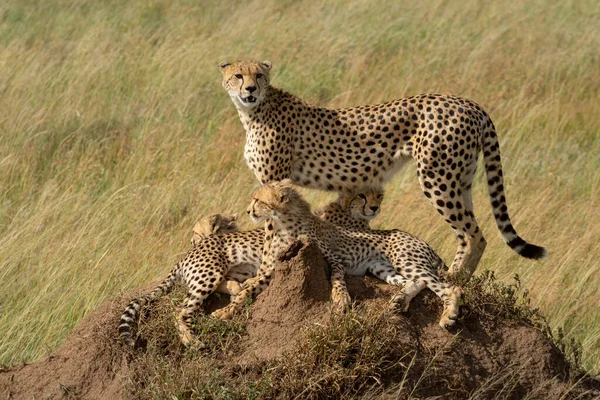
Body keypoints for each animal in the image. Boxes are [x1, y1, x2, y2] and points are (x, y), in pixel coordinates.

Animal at [213, 181, 462, 328]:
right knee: (416, 281)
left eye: (258, 200)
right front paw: (227, 310)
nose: (248, 210)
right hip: (381, 267)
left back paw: (448, 316)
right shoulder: (278, 266)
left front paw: (341, 299)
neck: (283, 222)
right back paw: (400, 301)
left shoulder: (334, 258)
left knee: (449, 287)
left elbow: (337, 278)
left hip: (406, 259)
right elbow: (249, 290)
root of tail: (421, 240)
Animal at [218, 60, 548, 278]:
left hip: (437, 178)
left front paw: (266, 266)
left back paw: (452, 280)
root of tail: (468, 102)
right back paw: (462, 280)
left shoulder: (274, 181)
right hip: (461, 178)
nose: (250, 89)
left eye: (259, 75)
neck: (254, 111)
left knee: (473, 235)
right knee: (471, 231)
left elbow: (270, 230)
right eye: (238, 75)